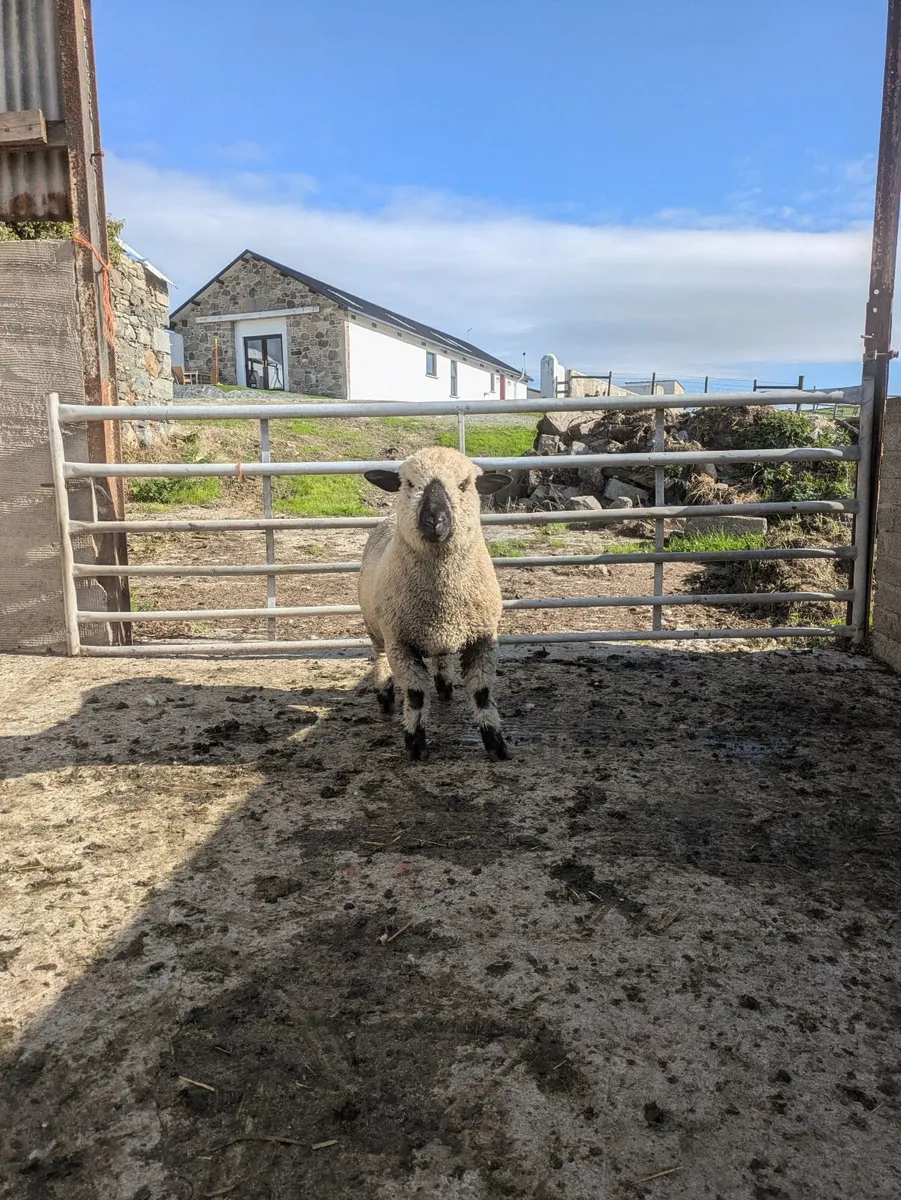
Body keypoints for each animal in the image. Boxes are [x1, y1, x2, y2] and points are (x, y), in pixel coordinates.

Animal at [359, 446, 512, 762]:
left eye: (465, 484)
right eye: (408, 483)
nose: (434, 520)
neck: (442, 601)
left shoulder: (483, 638)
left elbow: (482, 693)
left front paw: (496, 744)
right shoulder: (400, 643)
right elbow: (416, 696)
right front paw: (415, 744)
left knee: (442, 658)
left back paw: (444, 687)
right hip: (376, 629)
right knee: (379, 659)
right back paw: (385, 695)